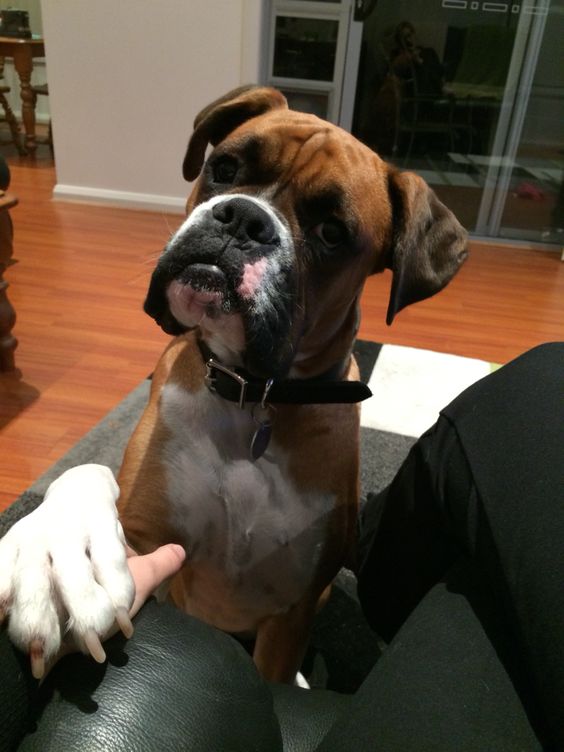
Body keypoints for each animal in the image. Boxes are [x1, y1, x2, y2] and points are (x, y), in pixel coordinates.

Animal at [0, 86, 468, 680]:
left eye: (332, 232)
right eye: (224, 168)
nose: (244, 217)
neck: (252, 395)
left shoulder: (292, 613)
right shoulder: (147, 545)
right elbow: (87, 475)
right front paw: (58, 555)